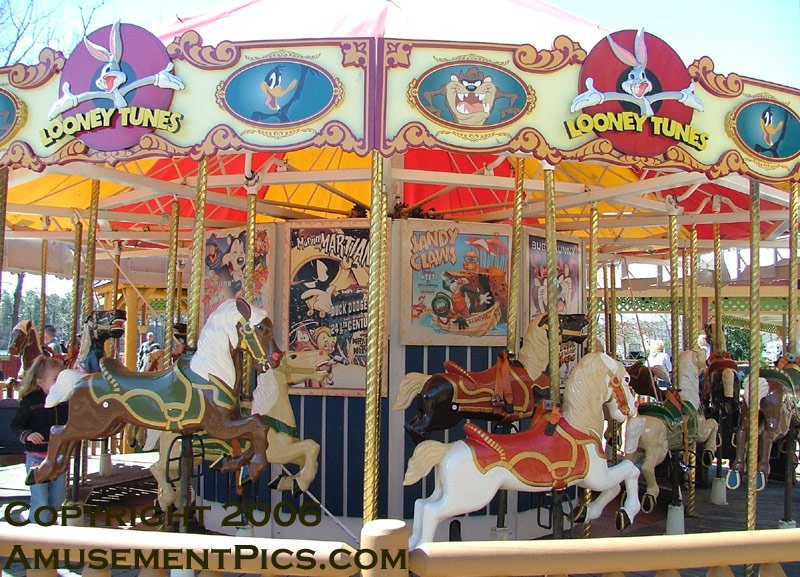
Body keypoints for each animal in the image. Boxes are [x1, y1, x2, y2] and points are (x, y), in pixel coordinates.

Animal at [26, 298, 281, 487]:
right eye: (260, 328)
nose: (276, 358)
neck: (210, 373)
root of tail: (81, 378)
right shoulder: (217, 425)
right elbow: (258, 426)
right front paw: (256, 467)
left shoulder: (233, 418)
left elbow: (258, 428)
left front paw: (235, 464)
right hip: (91, 422)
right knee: (57, 432)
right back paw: (41, 471)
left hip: (106, 425)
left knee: (68, 439)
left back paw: (52, 470)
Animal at [393, 314, 588, 444]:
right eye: (564, 319)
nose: (584, 316)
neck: (534, 369)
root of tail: (427, 382)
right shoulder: (540, 401)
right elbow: (562, 401)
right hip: (440, 417)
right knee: (417, 429)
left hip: (423, 412)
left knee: (410, 425)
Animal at [403, 352, 641, 549]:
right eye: (627, 379)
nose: (633, 408)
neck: (581, 426)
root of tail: (447, 450)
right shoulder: (595, 476)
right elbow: (628, 473)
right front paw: (626, 513)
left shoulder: (588, 479)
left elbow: (618, 481)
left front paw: (585, 512)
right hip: (469, 496)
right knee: (432, 511)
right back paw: (424, 546)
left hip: (446, 490)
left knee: (422, 504)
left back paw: (413, 542)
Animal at [625, 349, 719, 512]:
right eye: (701, 356)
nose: (707, 356)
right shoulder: (700, 431)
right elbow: (714, 424)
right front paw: (709, 453)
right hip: (658, 451)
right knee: (647, 468)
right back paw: (650, 496)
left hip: (637, 450)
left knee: (628, 466)